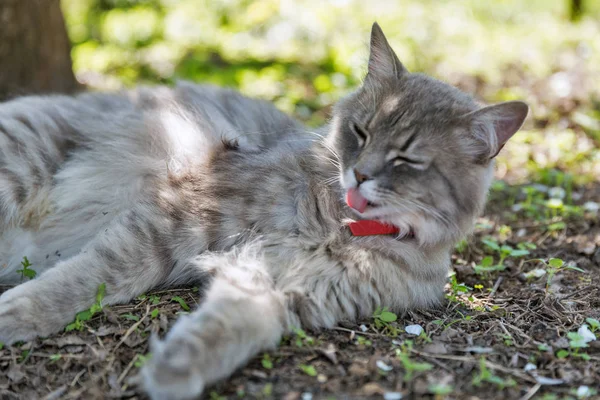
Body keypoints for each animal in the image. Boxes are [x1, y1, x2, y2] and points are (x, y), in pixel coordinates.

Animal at [0, 23, 524, 398]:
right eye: (361, 131)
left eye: (407, 160)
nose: (359, 174)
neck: (339, 227)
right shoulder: (177, 219)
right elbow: (87, 278)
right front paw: (18, 313)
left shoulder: (281, 285)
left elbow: (230, 329)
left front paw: (176, 368)